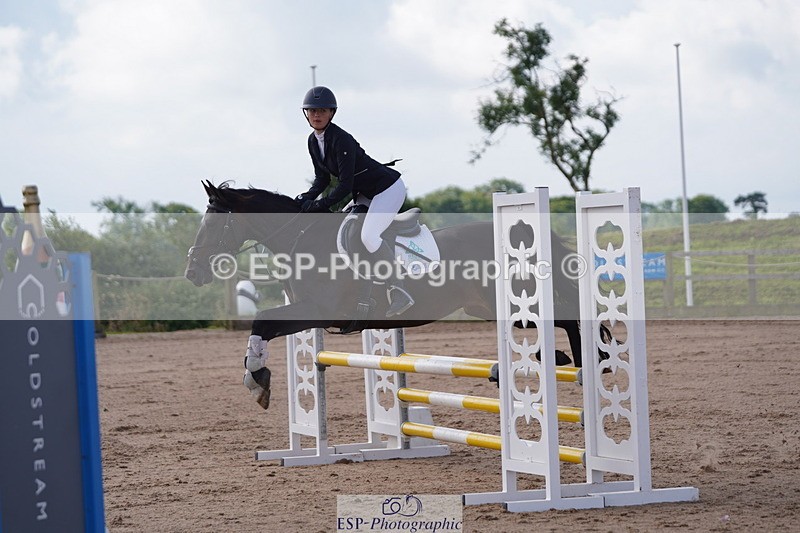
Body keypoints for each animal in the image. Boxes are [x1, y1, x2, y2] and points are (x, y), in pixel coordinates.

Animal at [185, 181, 591, 409]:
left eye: (214, 223)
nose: (193, 272)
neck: (303, 239)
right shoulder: (309, 312)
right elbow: (263, 326)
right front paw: (257, 378)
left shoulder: (318, 309)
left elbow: (261, 320)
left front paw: (257, 380)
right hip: (486, 306)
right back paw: (556, 359)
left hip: (511, 299)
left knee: (565, 317)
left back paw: (581, 363)